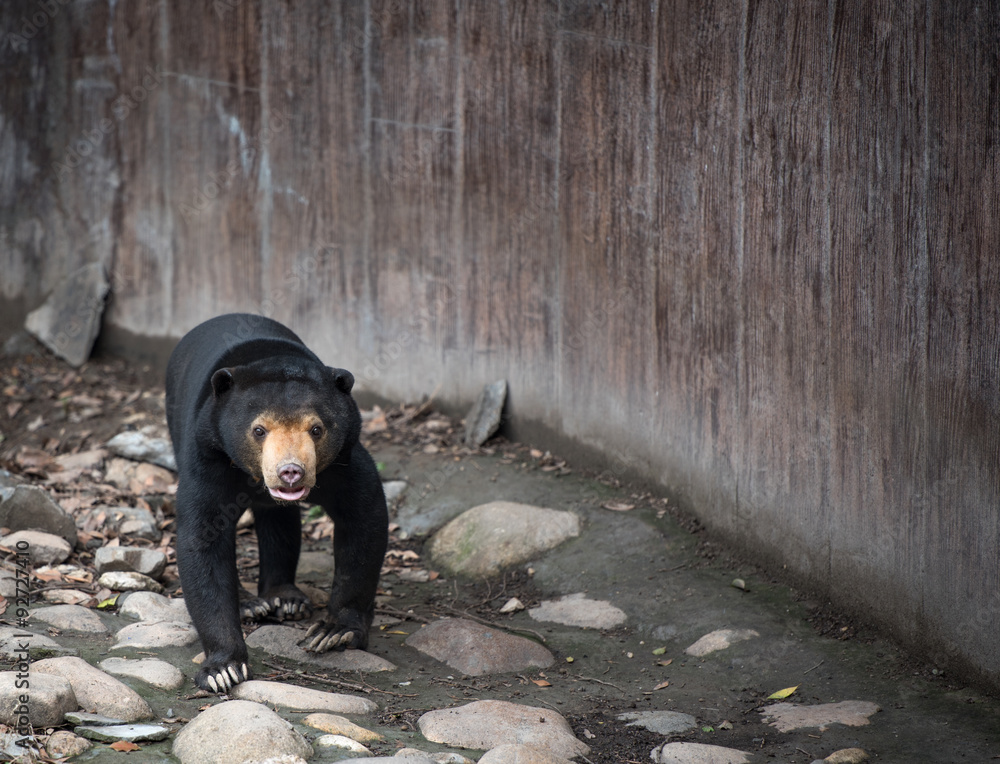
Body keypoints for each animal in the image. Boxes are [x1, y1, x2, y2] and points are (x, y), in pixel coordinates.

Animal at [164, 310, 386, 692]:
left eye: (317, 429)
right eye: (259, 430)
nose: (291, 472)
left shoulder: (342, 459)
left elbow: (363, 514)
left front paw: (334, 632)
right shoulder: (208, 454)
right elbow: (203, 538)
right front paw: (223, 669)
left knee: (279, 518)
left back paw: (285, 597)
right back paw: (252, 605)